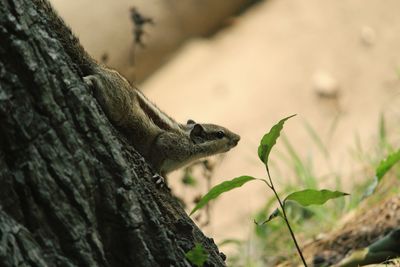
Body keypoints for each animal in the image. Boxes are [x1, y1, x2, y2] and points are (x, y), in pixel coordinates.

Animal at [39, 0, 241, 178]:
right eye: (220, 134)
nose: (238, 138)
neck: (187, 139)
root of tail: (104, 68)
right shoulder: (168, 144)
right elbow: (158, 153)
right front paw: (159, 176)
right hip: (116, 102)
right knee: (96, 80)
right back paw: (88, 82)